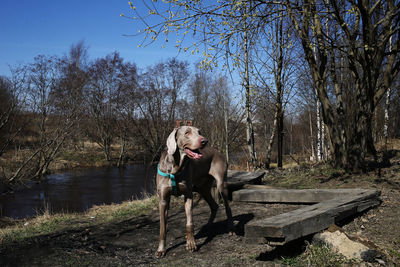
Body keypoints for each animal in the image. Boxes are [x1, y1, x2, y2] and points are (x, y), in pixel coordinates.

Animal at [155, 126, 233, 258]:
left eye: (199, 132)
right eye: (187, 133)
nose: (204, 141)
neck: (176, 168)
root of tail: (219, 152)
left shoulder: (188, 195)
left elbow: (189, 223)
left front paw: (191, 244)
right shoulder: (163, 200)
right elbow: (162, 227)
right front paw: (161, 250)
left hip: (221, 184)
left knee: (227, 207)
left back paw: (230, 229)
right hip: (202, 188)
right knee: (214, 205)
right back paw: (208, 226)